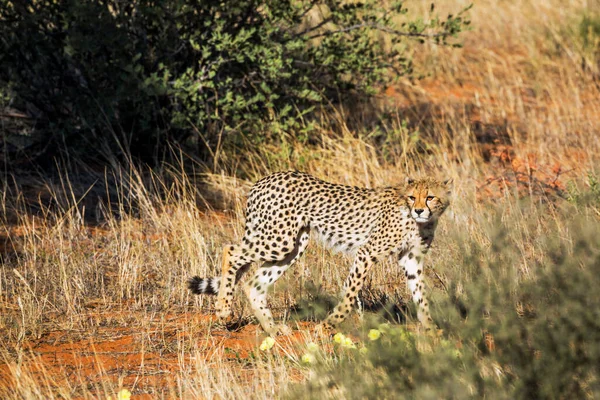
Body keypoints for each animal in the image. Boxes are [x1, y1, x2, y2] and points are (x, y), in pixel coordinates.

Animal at [188, 170, 450, 334]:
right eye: (412, 197)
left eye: (430, 197)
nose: (418, 210)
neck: (420, 222)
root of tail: (264, 179)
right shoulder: (366, 252)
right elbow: (350, 293)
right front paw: (328, 325)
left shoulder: (411, 259)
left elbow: (420, 294)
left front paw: (430, 328)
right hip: (278, 240)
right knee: (231, 251)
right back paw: (223, 309)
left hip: (294, 246)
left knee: (254, 284)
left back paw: (272, 329)